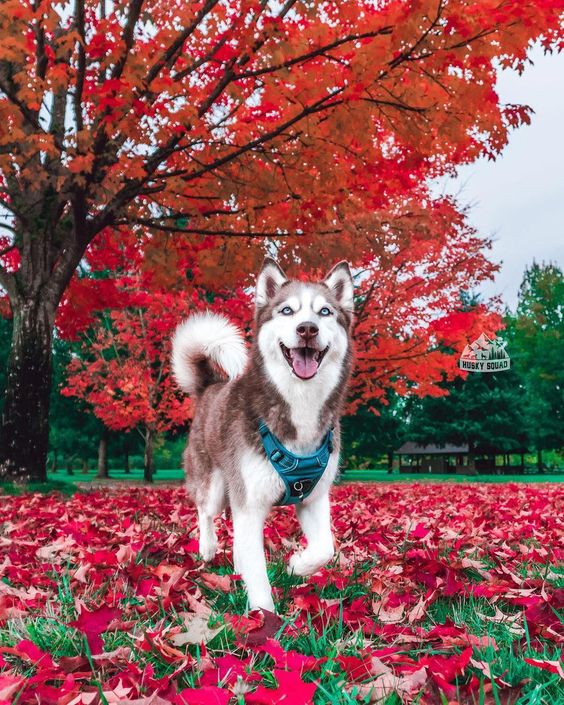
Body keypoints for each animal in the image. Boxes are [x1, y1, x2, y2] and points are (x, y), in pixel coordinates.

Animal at [172, 258, 352, 612]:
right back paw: (207, 547)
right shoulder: (250, 504)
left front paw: (297, 565)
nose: (307, 328)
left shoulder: (313, 497)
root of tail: (209, 386)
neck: (299, 406)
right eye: (287, 310)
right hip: (216, 484)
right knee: (206, 511)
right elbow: (258, 573)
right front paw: (263, 616)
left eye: (325, 312)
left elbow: (325, 547)